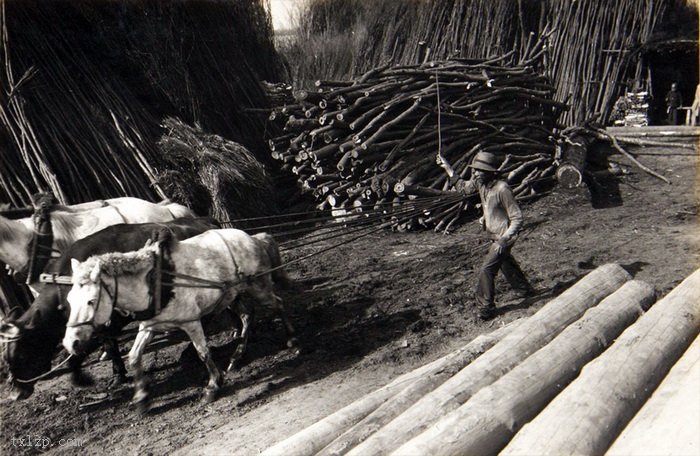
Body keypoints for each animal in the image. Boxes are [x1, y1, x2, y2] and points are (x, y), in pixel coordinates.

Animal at [0, 217, 219, 400]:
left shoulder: (112, 320)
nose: (16, 394)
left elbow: (92, 348)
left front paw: (86, 377)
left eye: (21, 354)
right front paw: (116, 374)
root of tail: (206, 220)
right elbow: (108, 345)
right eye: (7, 358)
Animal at [63, 228, 296, 410]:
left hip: (259, 287)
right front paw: (141, 398)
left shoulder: (191, 322)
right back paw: (236, 357)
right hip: (233, 294)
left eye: (91, 301)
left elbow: (203, 353)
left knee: (279, 304)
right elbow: (134, 356)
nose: (70, 342)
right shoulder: (149, 327)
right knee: (247, 316)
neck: (156, 282)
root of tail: (254, 238)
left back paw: (292, 341)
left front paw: (213, 386)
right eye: (69, 299)